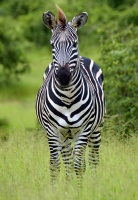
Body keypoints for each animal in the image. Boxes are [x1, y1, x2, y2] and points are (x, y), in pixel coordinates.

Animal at [35, 6, 105, 187]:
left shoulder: (84, 129)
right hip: (65, 135)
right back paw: (67, 185)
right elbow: (55, 164)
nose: (63, 77)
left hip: (97, 128)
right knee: (67, 160)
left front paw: (80, 190)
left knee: (93, 158)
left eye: (74, 44)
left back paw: (94, 185)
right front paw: (56, 190)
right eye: (52, 45)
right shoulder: (52, 130)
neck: (67, 98)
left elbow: (79, 165)